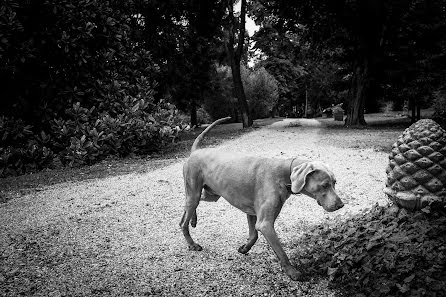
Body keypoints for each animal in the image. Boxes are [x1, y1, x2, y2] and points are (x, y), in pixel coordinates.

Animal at [179, 116, 344, 280]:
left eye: (335, 183)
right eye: (325, 185)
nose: (341, 205)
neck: (284, 173)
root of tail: (195, 152)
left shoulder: (252, 212)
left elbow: (254, 235)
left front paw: (245, 248)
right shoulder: (265, 224)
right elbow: (281, 252)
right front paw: (292, 272)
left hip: (210, 194)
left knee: (187, 207)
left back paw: (192, 220)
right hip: (195, 191)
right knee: (185, 220)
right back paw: (192, 243)